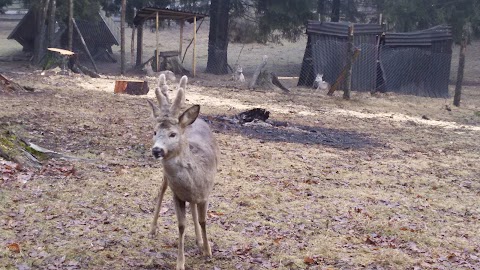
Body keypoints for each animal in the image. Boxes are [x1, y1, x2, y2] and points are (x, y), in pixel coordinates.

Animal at [145, 74, 218, 270]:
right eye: (154, 132)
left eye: (172, 134)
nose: (157, 150)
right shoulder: (177, 194)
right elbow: (181, 225)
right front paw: (180, 263)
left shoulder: (206, 194)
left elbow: (203, 220)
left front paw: (208, 252)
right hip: (166, 182)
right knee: (161, 190)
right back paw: (152, 229)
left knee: (193, 207)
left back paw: (200, 242)